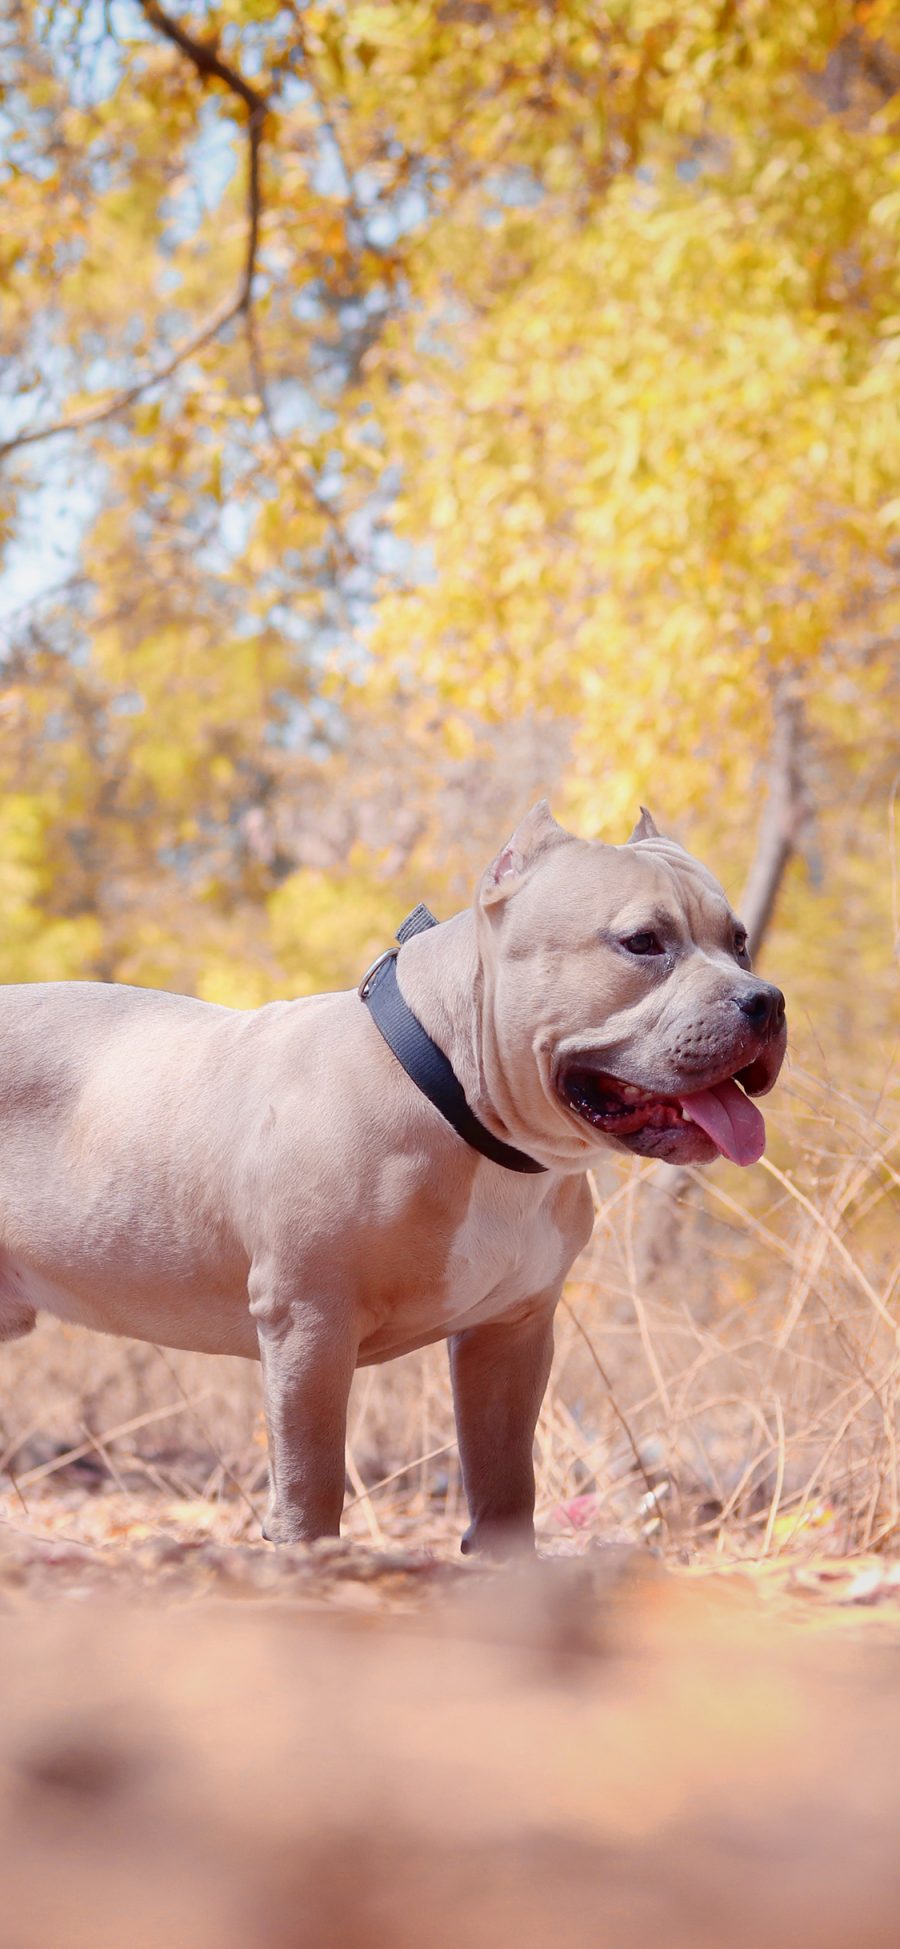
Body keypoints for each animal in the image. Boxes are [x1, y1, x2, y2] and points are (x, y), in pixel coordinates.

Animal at [0, 806, 783, 1551]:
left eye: (740, 941)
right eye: (643, 942)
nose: (766, 1000)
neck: (461, 1104)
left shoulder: (511, 1334)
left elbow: (506, 1489)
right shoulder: (310, 1324)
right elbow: (312, 1487)